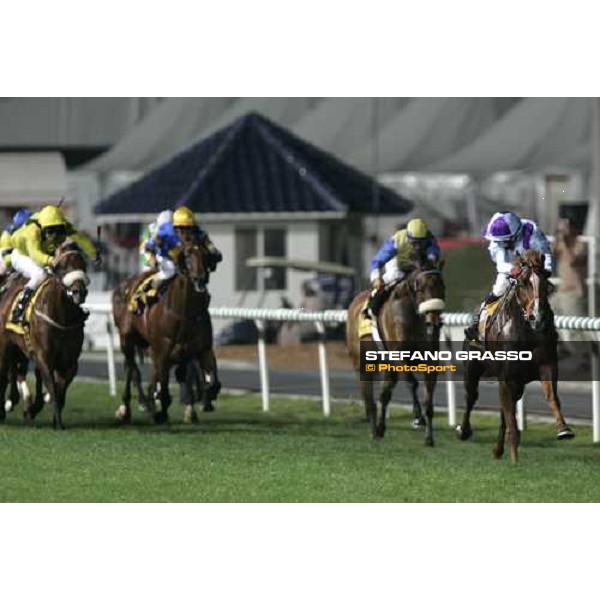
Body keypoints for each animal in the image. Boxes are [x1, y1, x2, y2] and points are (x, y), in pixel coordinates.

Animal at [0, 241, 90, 428]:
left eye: (83, 265)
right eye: (63, 266)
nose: (79, 292)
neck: (62, 317)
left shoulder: (70, 361)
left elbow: (60, 388)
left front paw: (51, 416)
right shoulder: (43, 356)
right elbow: (52, 386)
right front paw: (56, 420)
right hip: (6, 347)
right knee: (4, 374)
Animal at [111, 241, 219, 424]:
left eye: (205, 255)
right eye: (187, 255)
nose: (200, 279)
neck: (184, 312)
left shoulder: (201, 349)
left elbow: (212, 383)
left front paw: (204, 400)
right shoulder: (162, 350)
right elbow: (164, 391)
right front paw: (159, 412)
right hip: (126, 339)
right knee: (132, 370)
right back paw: (127, 409)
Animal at [346, 258, 446, 446]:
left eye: (442, 287)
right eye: (421, 288)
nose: (434, 321)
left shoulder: (430, 359)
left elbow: (428, 397)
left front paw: (429, 437)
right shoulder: (398, 355)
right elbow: (412, 383)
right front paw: (418, 417)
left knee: (385, 393)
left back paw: (380, 428)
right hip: (361, 362)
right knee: (369, 397)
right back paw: (374, 431)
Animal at [458, 246, 576, 462]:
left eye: (545, 284)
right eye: (522, 283)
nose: (538, 318)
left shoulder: (546, 366)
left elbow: (551, 397)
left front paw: (564, 430)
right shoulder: (506, 377)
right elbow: (511, 420)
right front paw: (514, 460)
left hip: (518, 384)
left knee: (505, 412)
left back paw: (497, 449)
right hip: (472, 369)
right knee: (471, 396)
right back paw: (463, 430)